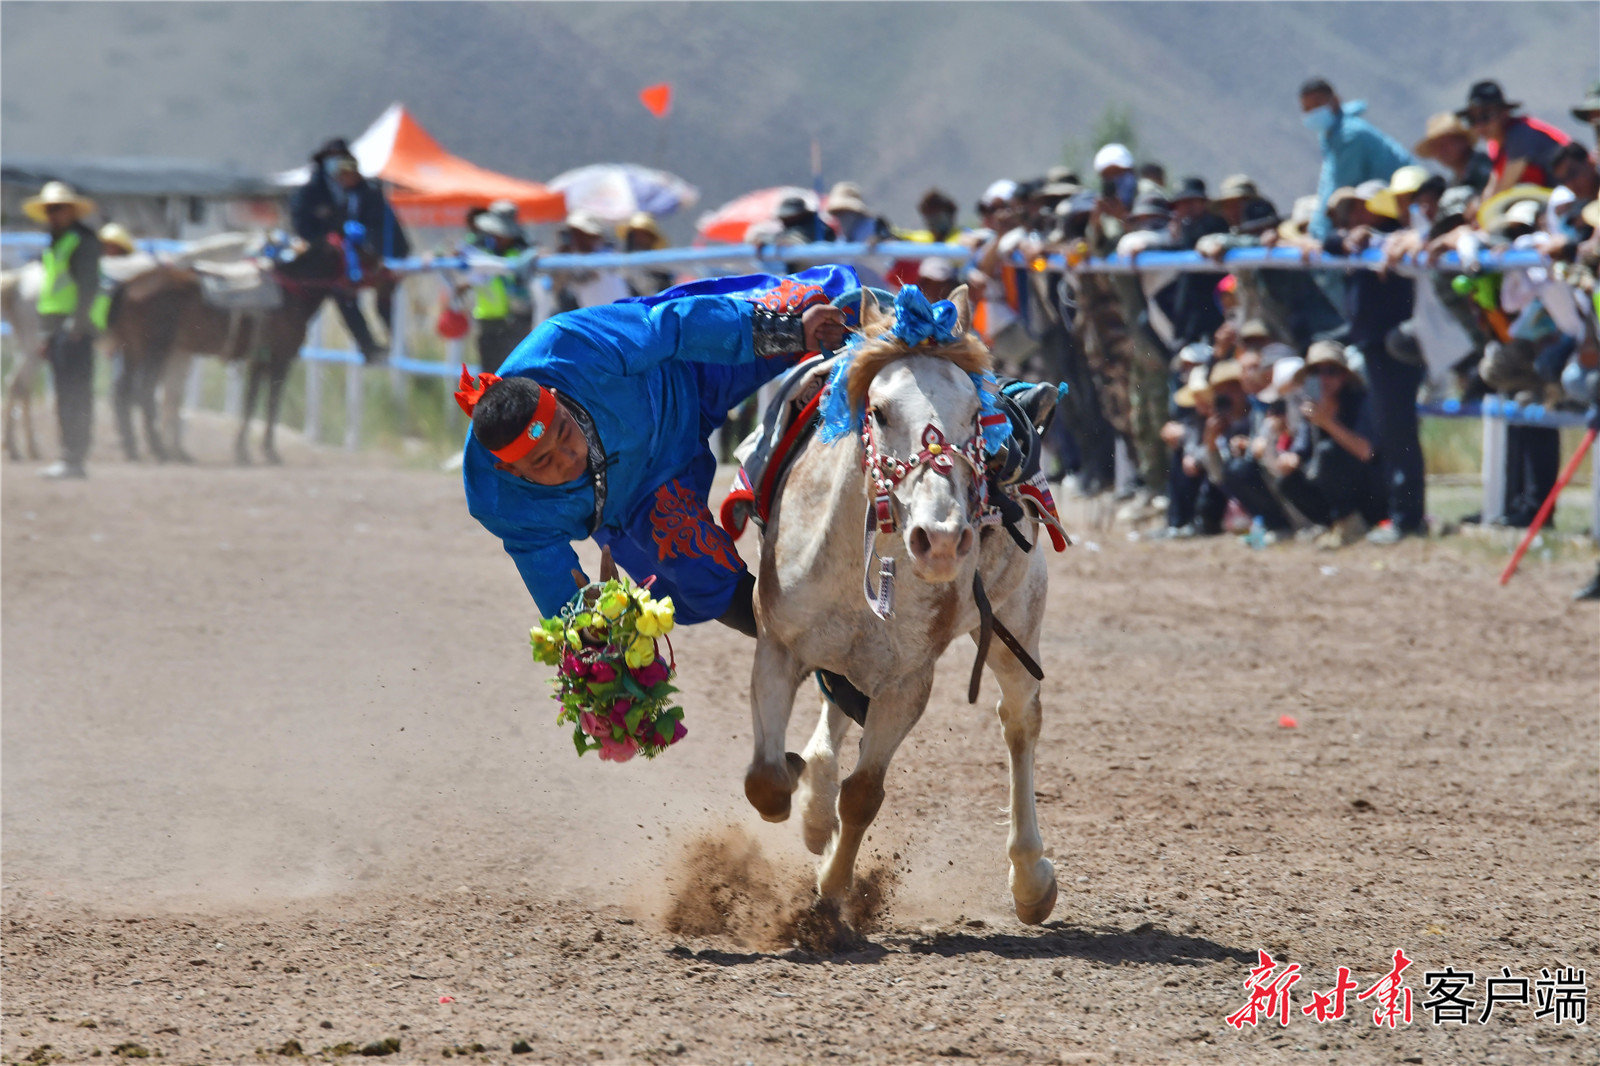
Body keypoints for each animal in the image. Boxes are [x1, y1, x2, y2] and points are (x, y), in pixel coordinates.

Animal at [748, 288, 1062, 921]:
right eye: (880, 411)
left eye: (973, 415)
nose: (939, 539)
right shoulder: (777, 643)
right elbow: (767, 781)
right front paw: (802, 796)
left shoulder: (906, 682)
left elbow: (863, 795)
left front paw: (832, 891)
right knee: (836, 713)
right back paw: (813, 806)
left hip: (1016, 622)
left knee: (1020, 722)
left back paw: (1030, 878)